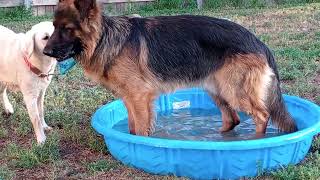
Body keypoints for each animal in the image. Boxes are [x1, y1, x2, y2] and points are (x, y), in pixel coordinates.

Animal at [44, 0, 298, 136]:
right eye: (54, 27)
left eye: (67, 29)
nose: (45, 52)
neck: (106, 38)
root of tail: (259, 42)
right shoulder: (130, 98)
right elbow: (132, 128)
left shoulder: (139, 97)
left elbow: (141, 130)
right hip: (217, 90)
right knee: (232, 119)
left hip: (234, 91)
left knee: (262, 115)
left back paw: (255, 140)